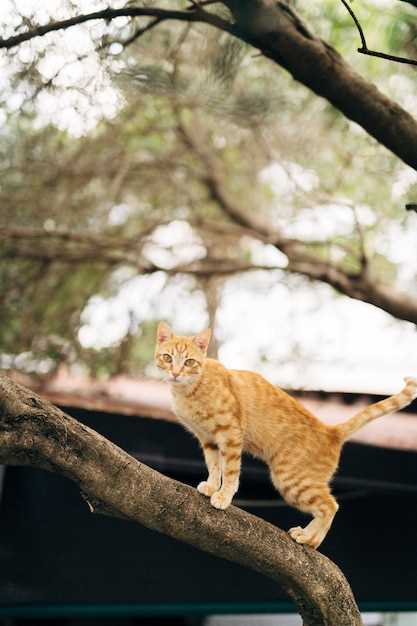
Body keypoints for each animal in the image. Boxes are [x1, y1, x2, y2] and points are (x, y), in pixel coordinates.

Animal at [154, 322, 416, 544]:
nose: (175, 372)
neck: (188, 392)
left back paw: (310, 540)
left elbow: (230, 471)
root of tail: (331, 430)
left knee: (331, 505)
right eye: (167, 358)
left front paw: (223, 496)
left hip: (290, 479)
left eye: (189, 362)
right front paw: (211, 486)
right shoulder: (208, 439)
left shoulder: (230, 434)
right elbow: (214, 465)